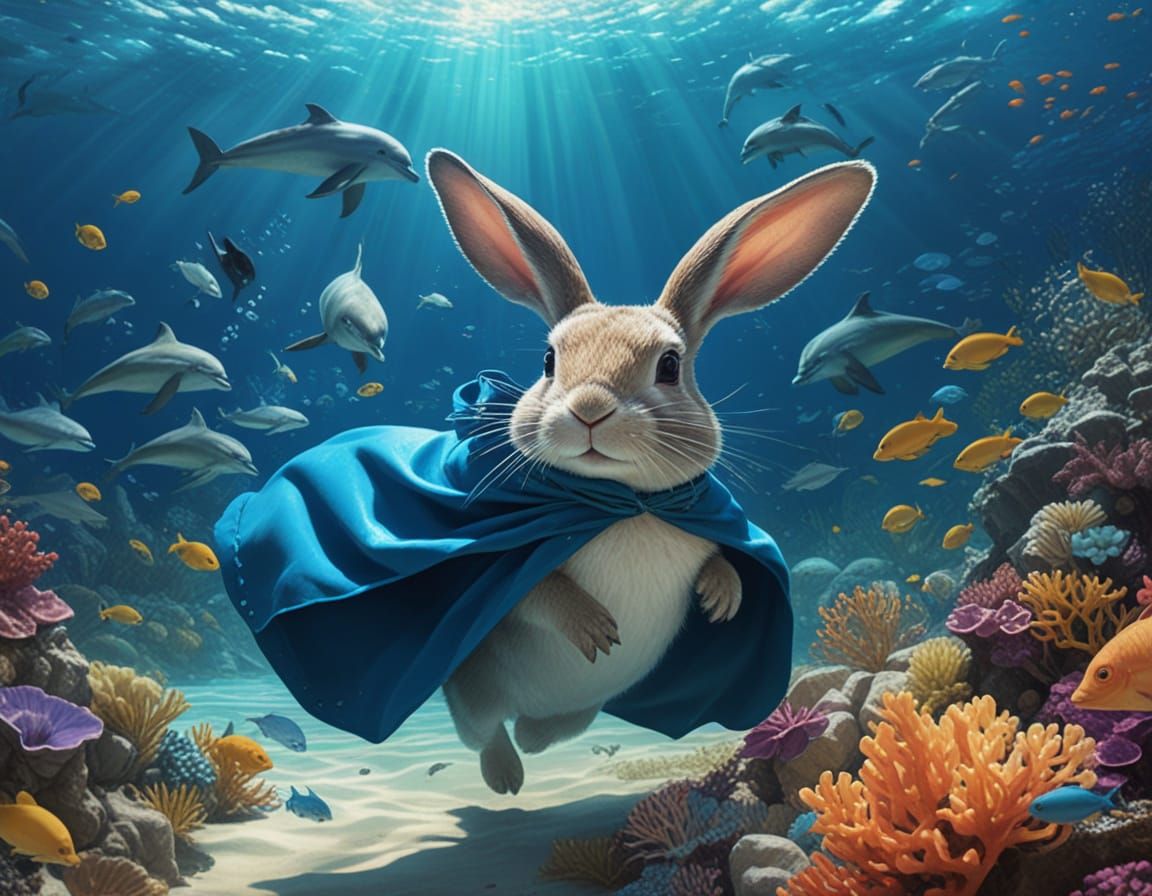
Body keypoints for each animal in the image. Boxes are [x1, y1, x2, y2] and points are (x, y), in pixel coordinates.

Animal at [426, 149, 875, 794]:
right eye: (548, 360)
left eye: (669, 365)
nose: (589, 409)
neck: (624, 503)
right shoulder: (515, 578)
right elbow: (538, 591)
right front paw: (593, 627)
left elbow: (719, 556)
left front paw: (723, 597)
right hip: (473, 696)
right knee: (488, 734)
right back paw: (507, 776)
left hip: (580, 710)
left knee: (545, 730)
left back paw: (533, 741)